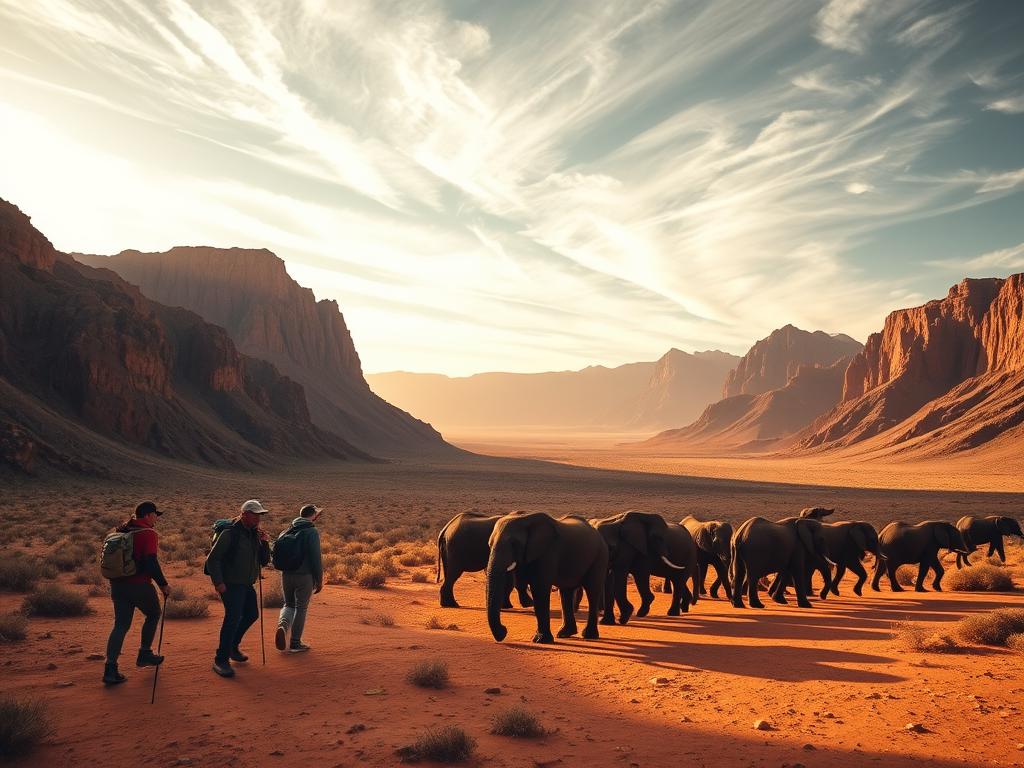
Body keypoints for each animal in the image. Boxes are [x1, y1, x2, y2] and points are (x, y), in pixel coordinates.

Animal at [486, 512, 608, 644]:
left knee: (592, 591)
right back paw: (564, 634)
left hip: (599, 556)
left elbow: (539, 588)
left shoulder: (548, 553)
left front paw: (541, 640)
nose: (504, 631)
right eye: (489, 544)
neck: (525, 519)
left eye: (514, 543)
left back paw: (589, 635)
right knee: (566, 592)